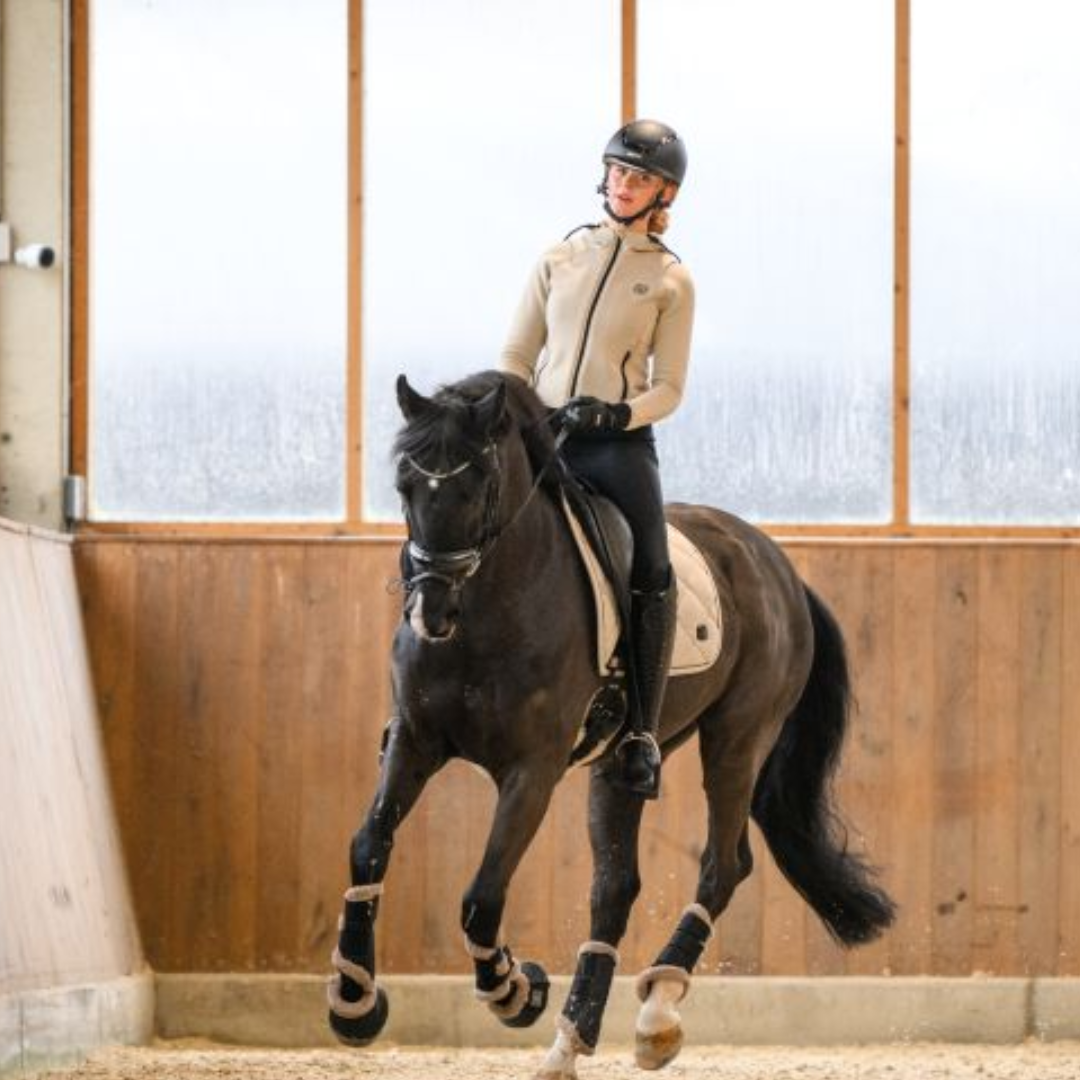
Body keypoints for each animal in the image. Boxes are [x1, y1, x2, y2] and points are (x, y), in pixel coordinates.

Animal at [327, 370, 896, 1077]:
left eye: (477, 484)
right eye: (406, 485)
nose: (430, 612)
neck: (487, 610)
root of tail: (777, 564)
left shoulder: (532, 772)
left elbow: (482, 896)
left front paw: (515, 990)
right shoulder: (413, 742)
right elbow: (367, 847)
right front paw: (354, 1002)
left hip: (738, 738)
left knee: (724, 864)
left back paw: (658, 1011)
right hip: (624, 763)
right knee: (615, 889)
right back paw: (570, 1043)